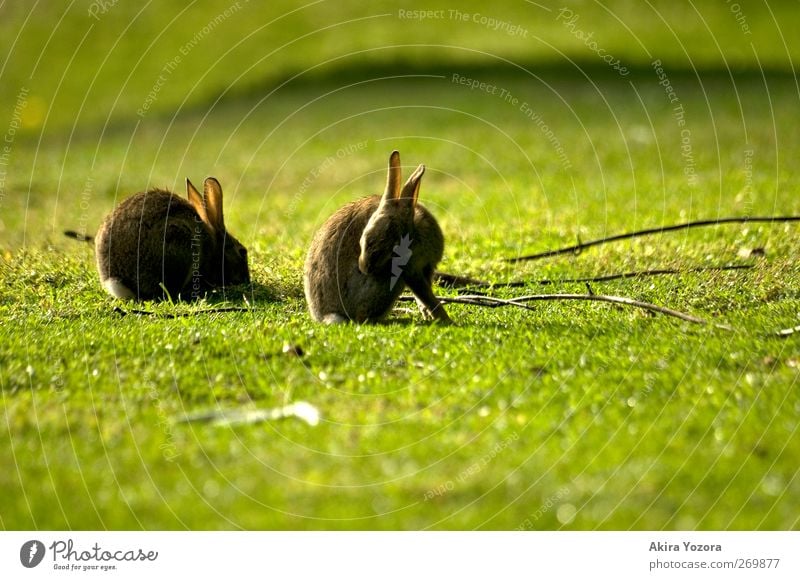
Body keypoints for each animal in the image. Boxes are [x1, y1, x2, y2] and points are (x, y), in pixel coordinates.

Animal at [304, 150, 450, 324]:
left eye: (392, 236)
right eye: (363, 240)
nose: (364, 268)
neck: (414, 232)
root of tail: (328, 315)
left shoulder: (426, 268)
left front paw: (434, 317)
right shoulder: (411, 271)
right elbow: (425, 296)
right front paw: (447, 320)